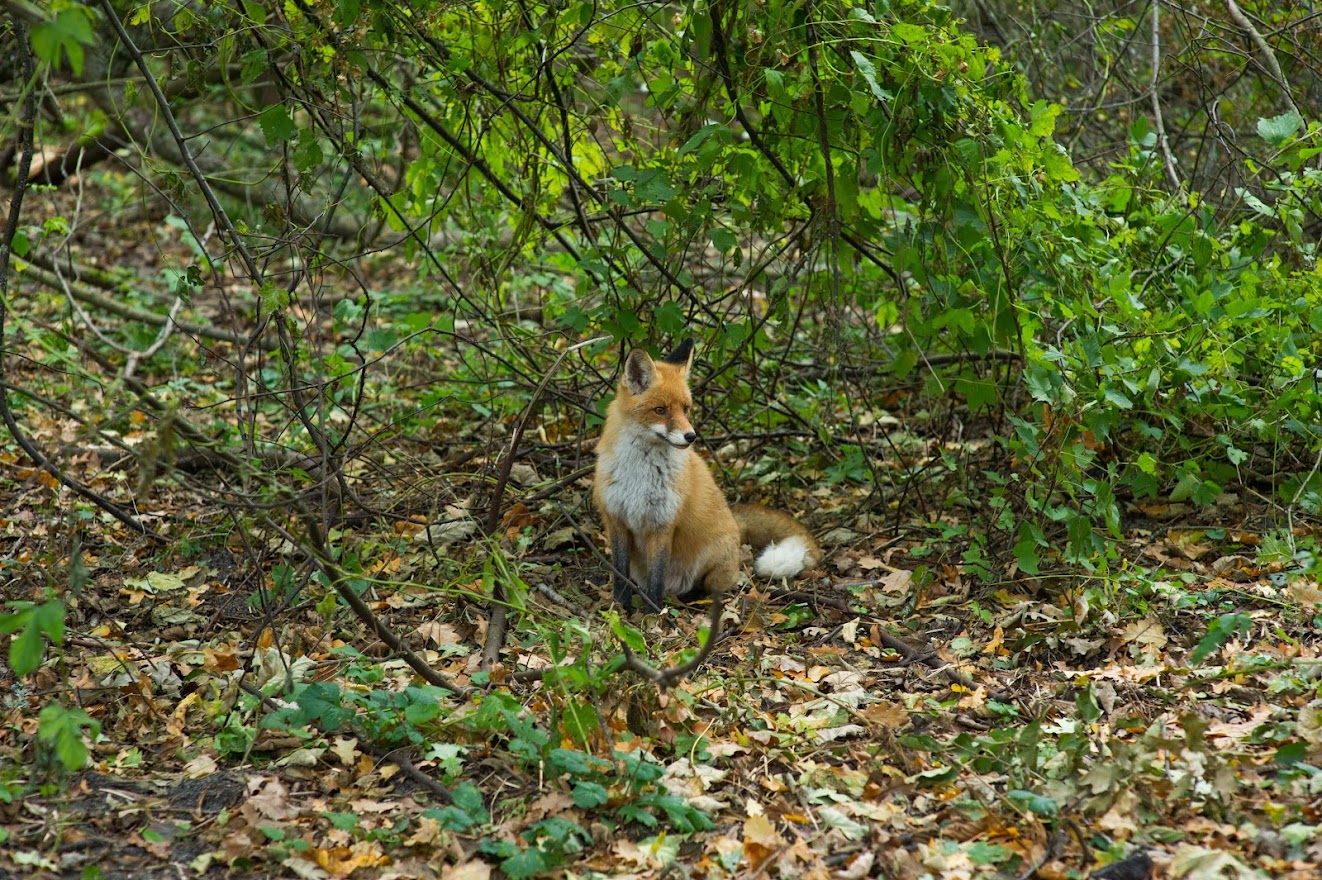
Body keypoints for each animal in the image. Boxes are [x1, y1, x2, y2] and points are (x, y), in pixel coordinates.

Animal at [592, 338, 814, 607]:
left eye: (686, 409)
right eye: (660, 410)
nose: (691, 436)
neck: (639, 474)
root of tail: (734, 522)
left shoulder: (662, 522)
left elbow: (657, 578)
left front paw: (651, 612)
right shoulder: (616, 519)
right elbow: (620, 573)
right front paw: (620, 605)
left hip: (714, 567)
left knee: (713, 584)